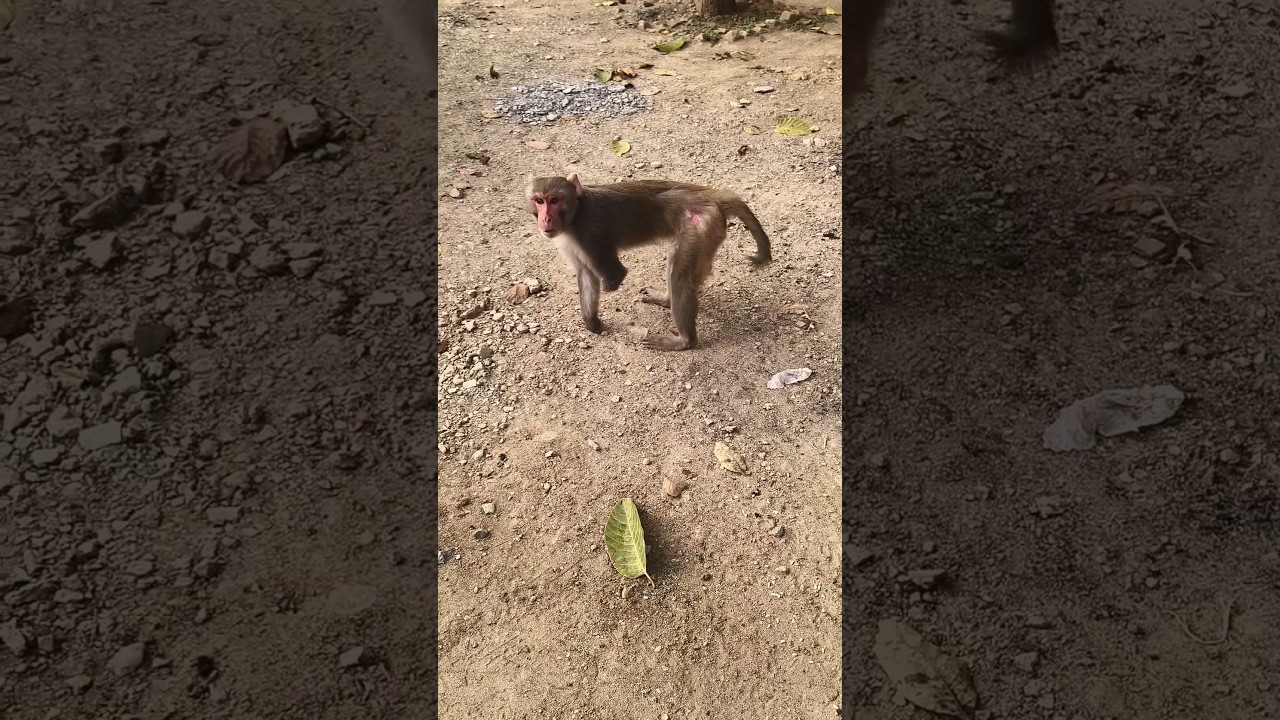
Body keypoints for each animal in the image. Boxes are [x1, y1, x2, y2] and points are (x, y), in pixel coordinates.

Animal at [526, 174, 771, 351]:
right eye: (539, 201)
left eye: (554, 200)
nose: (546, 218)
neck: (575, 216)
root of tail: (712, 195)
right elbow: (585, 274)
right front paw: (592, 322)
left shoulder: (589, 235)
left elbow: (615, 275)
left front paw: (608, 290)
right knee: (675, 263)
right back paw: (666, 300)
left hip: (702, 224)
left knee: (680, 277)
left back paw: (685, 341)